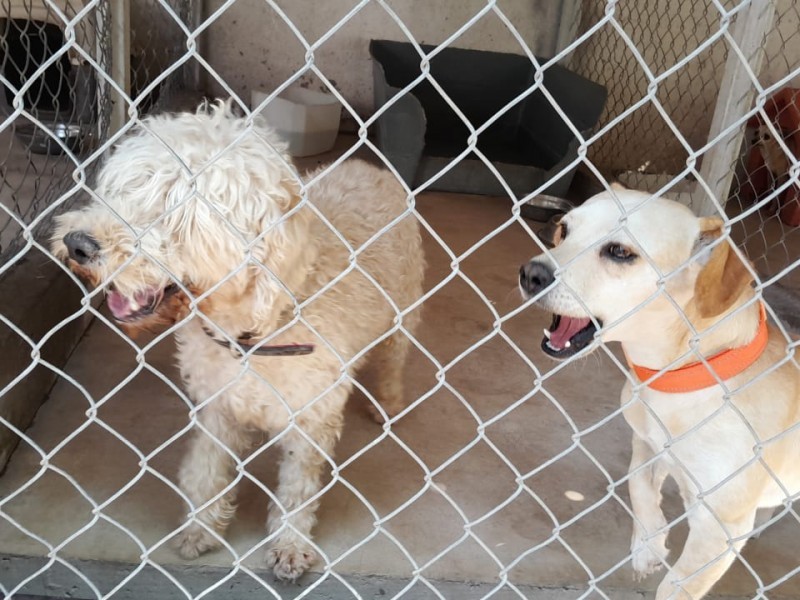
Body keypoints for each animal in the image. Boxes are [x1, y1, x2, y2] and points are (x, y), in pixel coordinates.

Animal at [51, 101, 424, 580]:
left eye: (176, 205)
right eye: (120, 188)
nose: (76, 243)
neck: (255, 326)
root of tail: (371, 166)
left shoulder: (310, 421)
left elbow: (297, 490)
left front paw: (289, 545)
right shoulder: (217, 407)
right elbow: (205, 471)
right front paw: (201, 529)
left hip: (403, 314)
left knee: (395, 360)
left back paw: (389, 402)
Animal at [520, 185, 800, 596]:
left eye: (620, 252)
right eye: (564, 230)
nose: (529, 274)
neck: (677, 379)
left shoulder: (719, 527)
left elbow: (677, 587)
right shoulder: (646, 442)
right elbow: (638, 484)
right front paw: (648, 543)